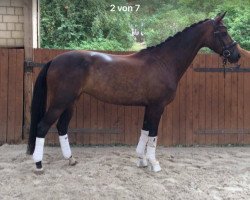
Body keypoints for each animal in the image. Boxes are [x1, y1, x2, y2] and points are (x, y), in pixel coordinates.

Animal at [26, 12, 240, 173]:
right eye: (223, 32)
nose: (237, 55)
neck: (164, 61)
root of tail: (54, 60)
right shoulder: (157, 107)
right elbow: (153, 135)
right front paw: (154, 164)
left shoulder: (149, 107)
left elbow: (144, 132)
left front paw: (141, 161)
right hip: (60, 101)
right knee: (42, 126)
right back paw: (39, 164)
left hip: (71, 101)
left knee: (62, 127)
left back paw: (70, 159)